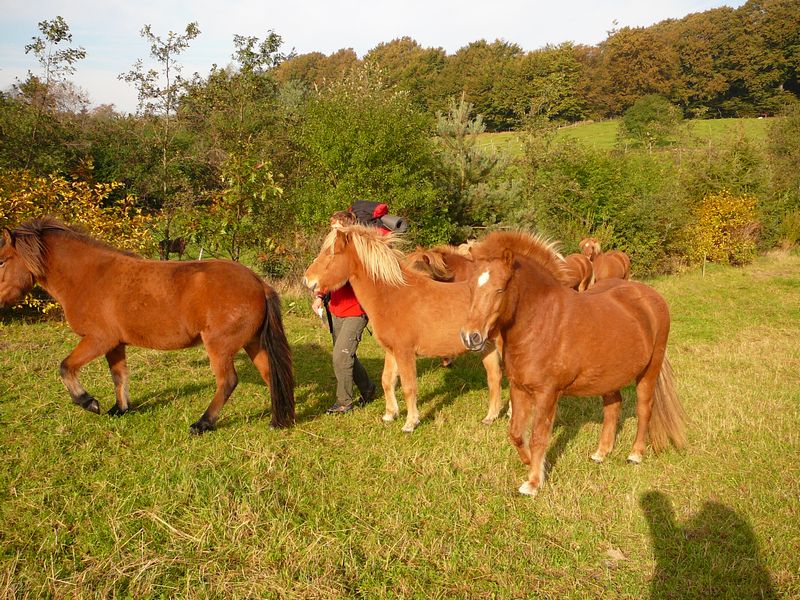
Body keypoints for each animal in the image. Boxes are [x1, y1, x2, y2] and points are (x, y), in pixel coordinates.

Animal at [0, 218, 296, 434]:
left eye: (2, 260)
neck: (90, 276)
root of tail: (258, 283)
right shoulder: (115, 344)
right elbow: (119, 376)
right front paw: (119, 409)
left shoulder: (98, 339)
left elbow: (66, 367)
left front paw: (89, 402)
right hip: (252, 343)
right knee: (270, 376)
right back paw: (277, 420)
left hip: (220, 347)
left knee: (228, 381)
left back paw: (203, 423)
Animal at [304, 226, 504, 432]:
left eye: (331, 254)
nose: (308, 280)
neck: (393, 295)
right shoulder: (392, 351)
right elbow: (387, 381)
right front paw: (390, 414)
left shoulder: (404, 352)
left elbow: (409, 387)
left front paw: (410, 422)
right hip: (487, 347)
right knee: (495, 378)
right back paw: (491, 417)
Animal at [462, 230, 688, 496]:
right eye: (470, 287)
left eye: (500, 289)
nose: (470, 337)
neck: (542, 321)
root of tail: (652, 298)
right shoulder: (519, 388)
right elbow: (516, 433)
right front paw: (530, 462)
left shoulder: (547, 393)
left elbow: (539, 436)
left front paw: (533, 483)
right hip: (609, 377)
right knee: (613, 407)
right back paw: (601, 453)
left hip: (649, 372)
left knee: (644, 409)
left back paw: (635, 454)